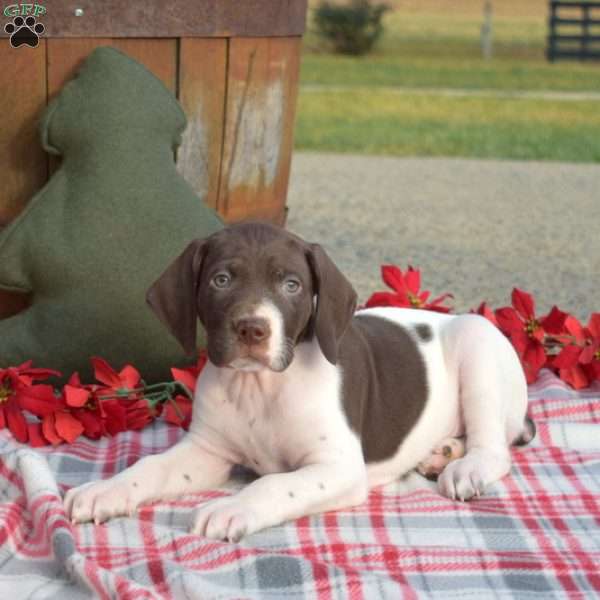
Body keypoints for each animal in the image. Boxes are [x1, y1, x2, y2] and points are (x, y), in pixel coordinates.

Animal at [65, 223, 536, 540]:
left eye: (291, 285)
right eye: (221, 280)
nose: (252, 329)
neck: (259, 389)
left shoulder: (338, 467)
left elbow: (275, 483)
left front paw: (232, 507)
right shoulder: (207, 450)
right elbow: (149, 467)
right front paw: (105, 490)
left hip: (477, 342)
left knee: (495, 446)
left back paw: (464, 465)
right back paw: (443, 451)